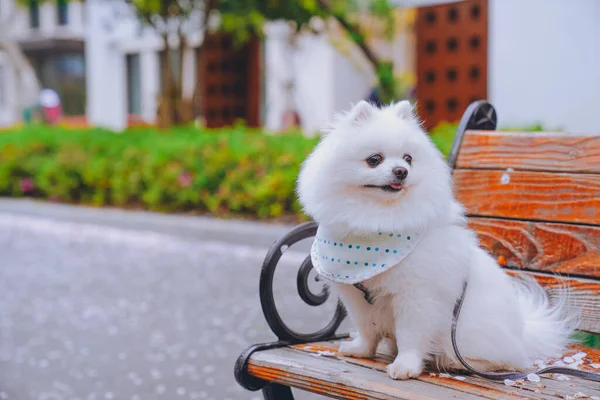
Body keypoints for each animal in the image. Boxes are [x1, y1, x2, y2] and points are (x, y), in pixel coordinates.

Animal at [298, 101, 576, 382]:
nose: (401, 171)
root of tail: (523, 331)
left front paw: (405, 366)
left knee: (504, 360)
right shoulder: (356, 297)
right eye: (374, 160)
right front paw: (361, 350)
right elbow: (367, 329)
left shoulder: (417, 295)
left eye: (408, 158)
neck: (379, 220)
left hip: (469, 333)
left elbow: (410, 336)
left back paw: (456, 362)